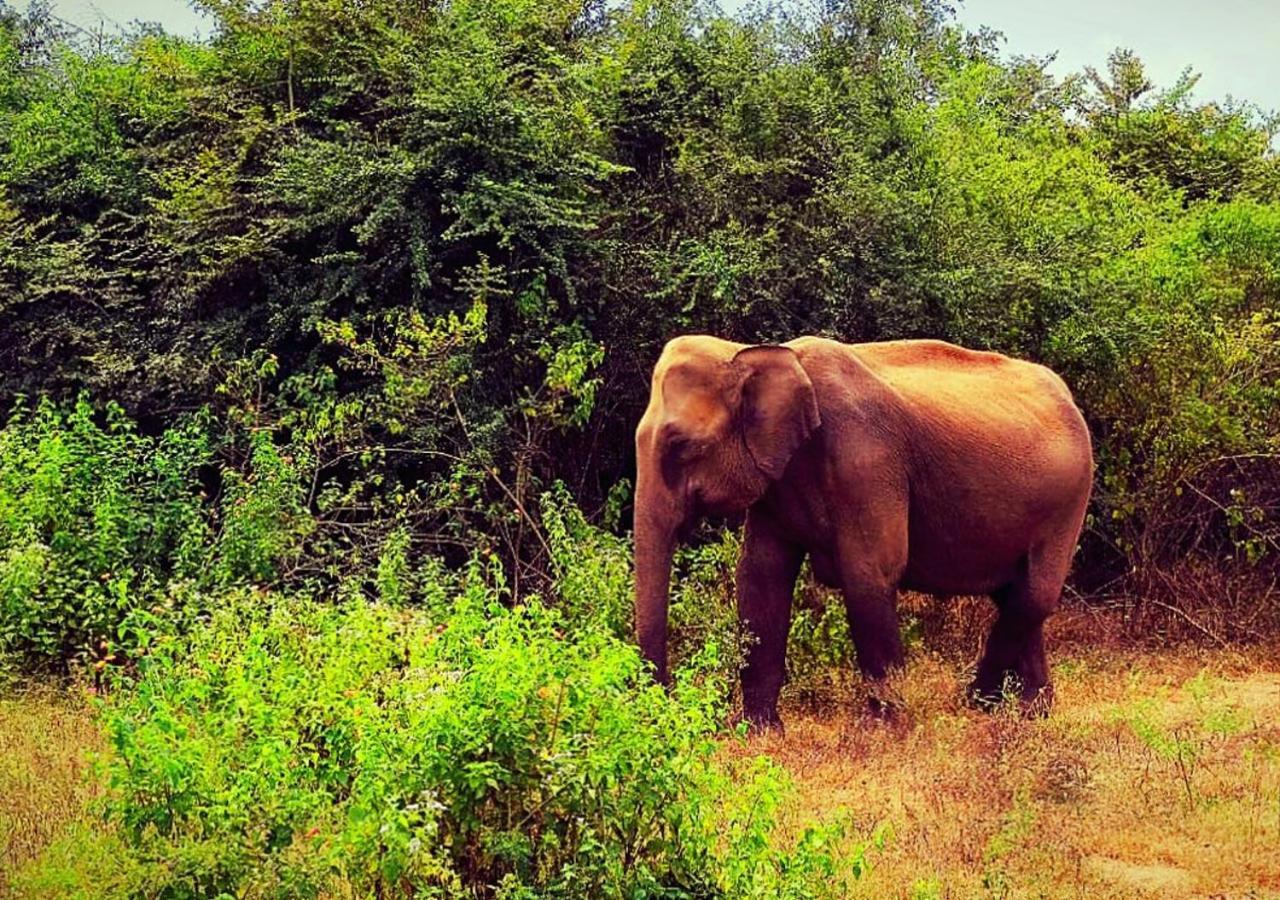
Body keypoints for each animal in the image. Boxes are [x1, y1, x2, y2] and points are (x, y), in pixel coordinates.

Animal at [629, 335, 1090, 727]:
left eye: (682, 447)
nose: (668, 700)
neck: (753, 353)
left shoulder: (866, 460)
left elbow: (870, 573)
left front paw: (883, 730)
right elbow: (761, 577)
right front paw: (758, 731)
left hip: (1068, 500)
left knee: (1034, 594)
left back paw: (977, 703)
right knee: (1016, 595)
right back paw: (1030, 713)